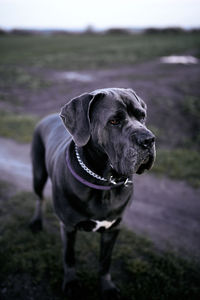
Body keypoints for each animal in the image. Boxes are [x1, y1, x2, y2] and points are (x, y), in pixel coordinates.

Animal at [29, 87, 155, 300]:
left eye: (142, 116)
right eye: (114, 121)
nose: (149, 140)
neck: (103, 181)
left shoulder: (113, 229)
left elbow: (105, 262)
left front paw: (107, 288)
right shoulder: (69, 227)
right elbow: (69, 257)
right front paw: (71, 284)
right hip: (38, 174)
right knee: (39, 198)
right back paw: (37, 222)